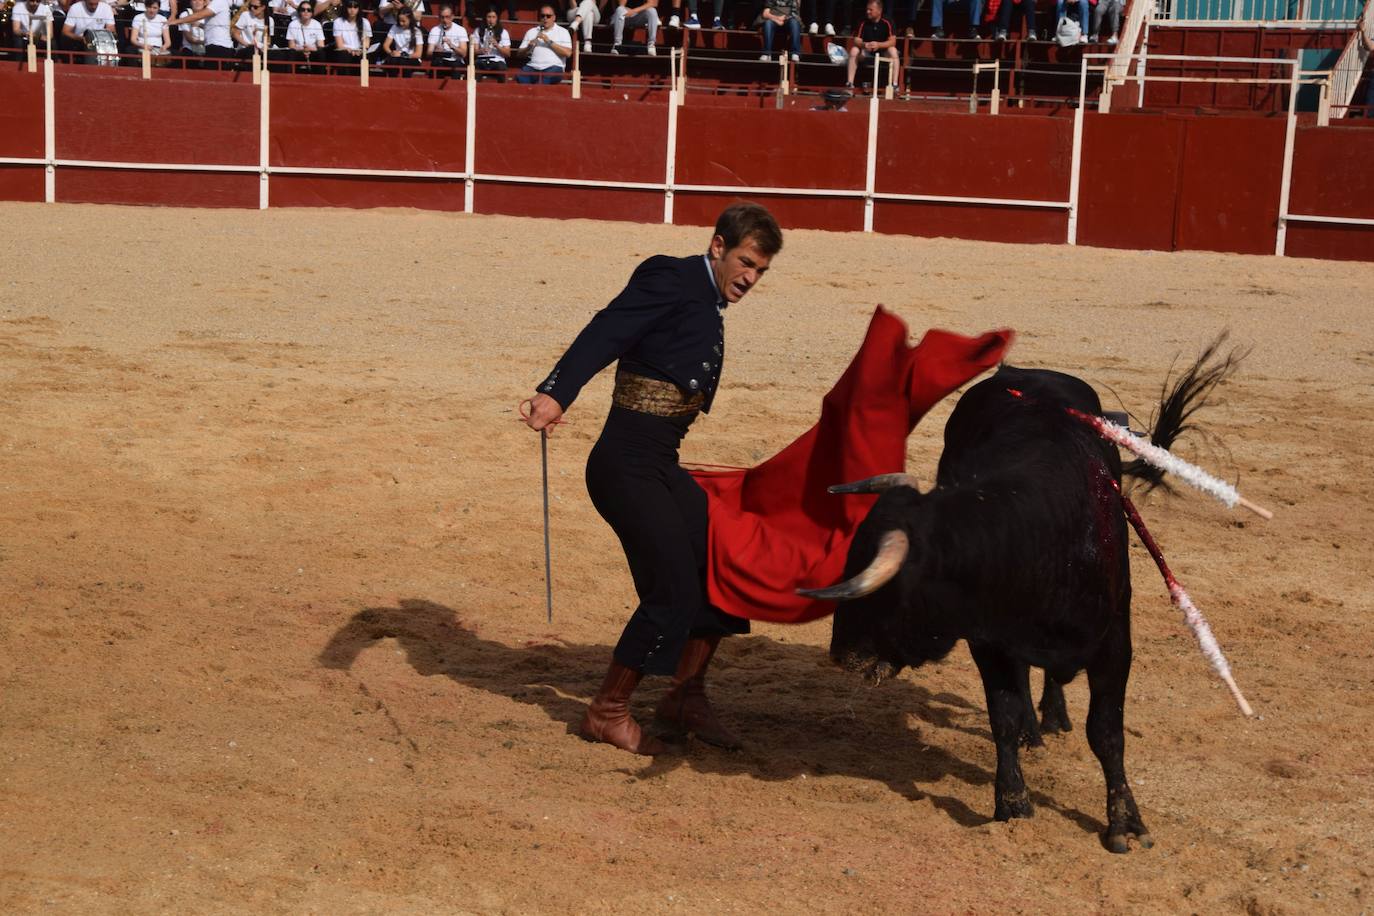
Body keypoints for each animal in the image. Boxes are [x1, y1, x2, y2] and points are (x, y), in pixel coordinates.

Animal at [802, 348, 1242, 851]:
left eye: (888, 593)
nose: (841, 655)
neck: (1037, 537)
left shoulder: (1116, 643)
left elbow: (1106, 732)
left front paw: (1125, 824)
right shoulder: (989, 642)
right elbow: (1005, 715)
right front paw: (1012, 802)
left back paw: (1054, 716)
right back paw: (1036, 728)